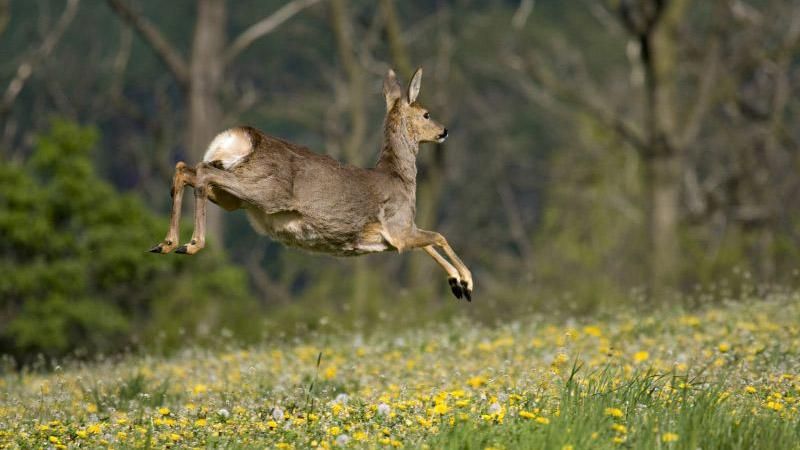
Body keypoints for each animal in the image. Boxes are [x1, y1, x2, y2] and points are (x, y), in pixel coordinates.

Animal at [149, 67, 472, 298]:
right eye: (426, 113)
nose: (444, 130)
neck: (399, 177)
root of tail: (239, 137)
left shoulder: (402, 232)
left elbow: (429, 243)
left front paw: (456, 283)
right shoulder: (399, 228)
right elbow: (439, 236)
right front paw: (465, 282)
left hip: (233, 198)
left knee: (185, 169)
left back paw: (166, 244)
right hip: (264, 191)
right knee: (202, 171)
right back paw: (191, 244)